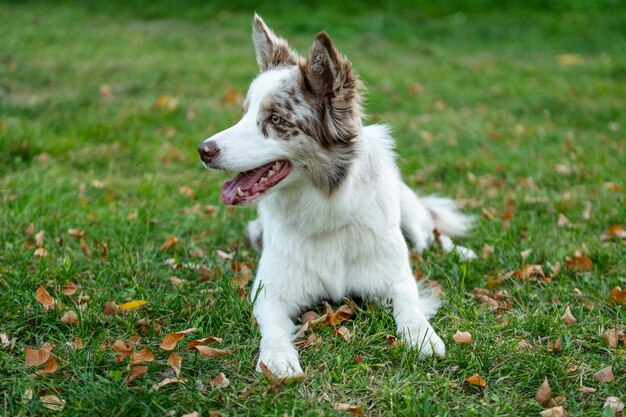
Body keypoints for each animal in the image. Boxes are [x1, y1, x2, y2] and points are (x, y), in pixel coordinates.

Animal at [197, 15, 476, 376]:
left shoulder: (395, 276)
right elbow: (273, 326)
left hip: (412, 217)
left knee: (432, 234)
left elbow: (410, 303)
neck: (324, 209)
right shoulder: (269, 291)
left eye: (275, 118)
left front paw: (422, 337)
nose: (203, 151)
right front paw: (278, 357)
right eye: (244, 113)